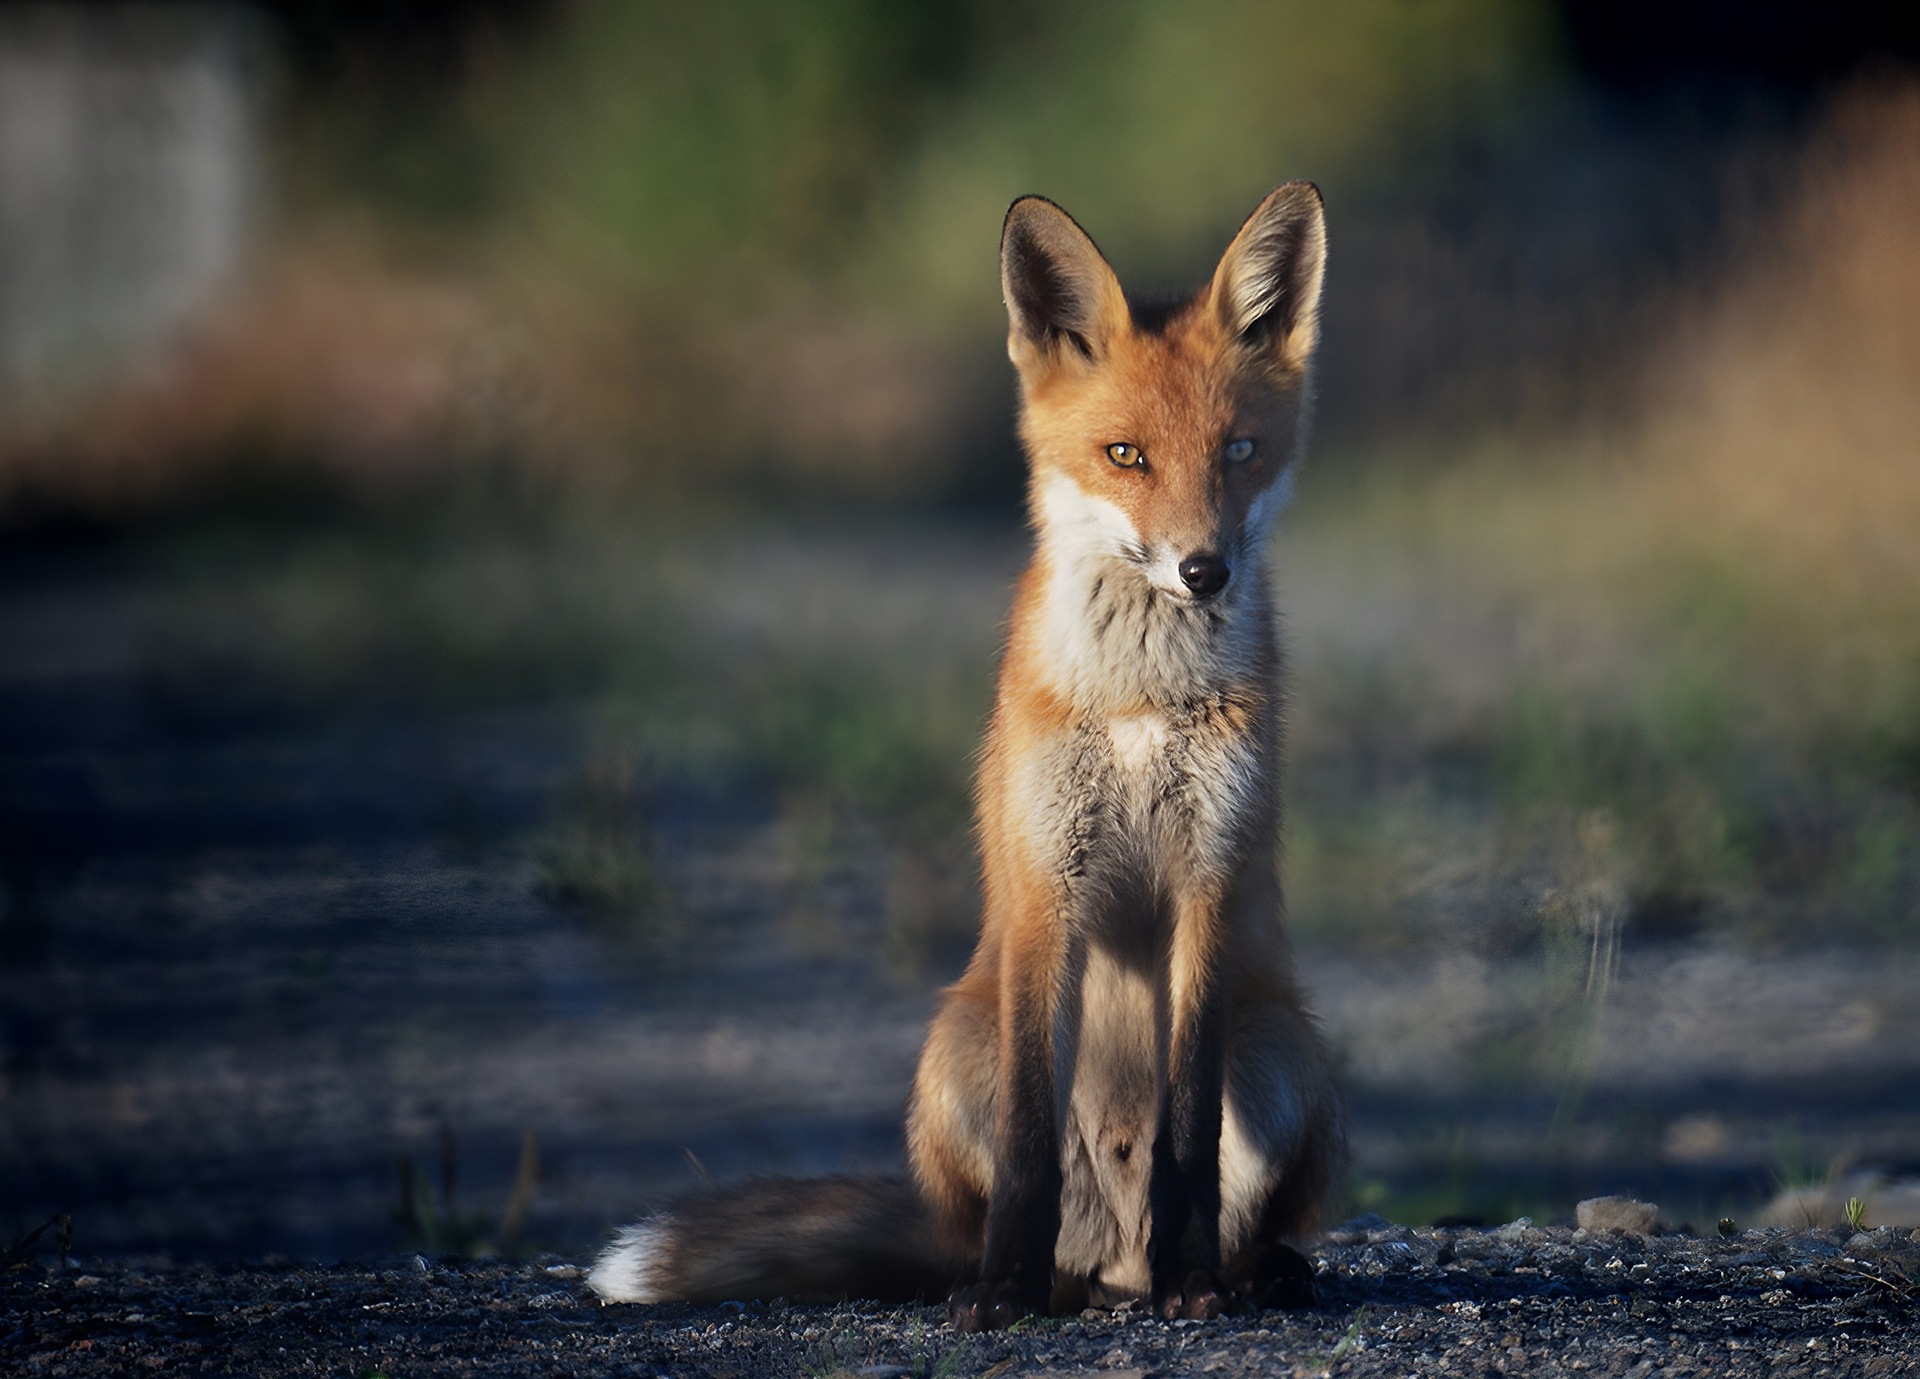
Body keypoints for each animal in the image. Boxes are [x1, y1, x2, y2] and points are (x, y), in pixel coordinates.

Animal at [591, 183, 1344, 1329]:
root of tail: (1112, 1262)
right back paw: (1032, 1277)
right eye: (1127, 455)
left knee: (1232, 1197)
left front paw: (1197, 1280)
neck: (1139, 699)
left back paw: (1240, 1269)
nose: (1203, 569)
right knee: (1017, 1216)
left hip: (1281, 1044)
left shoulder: (1207, 888)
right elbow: (1031, 1142)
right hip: (956, 1047)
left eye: (1240, 452)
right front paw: (1003, 1291)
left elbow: (1188, 1134)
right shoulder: (1046, 891)